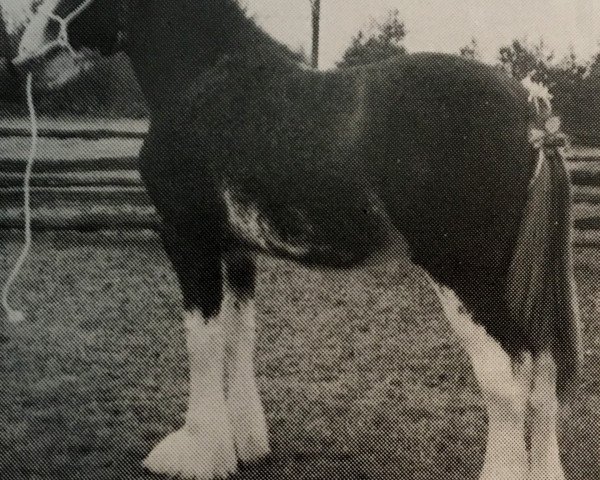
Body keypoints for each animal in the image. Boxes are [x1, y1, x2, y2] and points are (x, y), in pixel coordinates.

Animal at [12, 0, 580, 480]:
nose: (21, 59)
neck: (205, 79)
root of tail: (530, 115)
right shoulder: (237, 251)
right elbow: (237, 337)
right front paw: (242, 446)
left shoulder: (188, 239)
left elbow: (202, 342)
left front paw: (193, 453)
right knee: (543, 378)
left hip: (467, 280)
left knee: (508, 384)